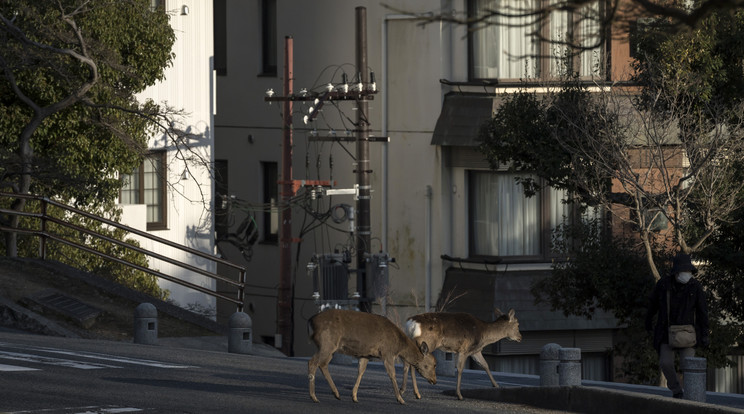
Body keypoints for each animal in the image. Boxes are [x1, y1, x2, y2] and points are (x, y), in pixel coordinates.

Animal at [306, 308, 436, 402]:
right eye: (433, 364)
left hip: (329, 348)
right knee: (312, 362)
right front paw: (400, 399)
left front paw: (354, 396)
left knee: (322, 364)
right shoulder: (387, 353)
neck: (398, 346)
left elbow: (361, 371)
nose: (434, 380)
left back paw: (336, 394)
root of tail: (310, 322)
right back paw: (314, 397)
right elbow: (392, 375)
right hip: (327, 343)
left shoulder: (366, 354)